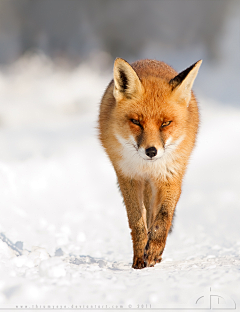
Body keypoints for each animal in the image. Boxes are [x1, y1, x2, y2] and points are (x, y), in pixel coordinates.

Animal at [98, 58, 202, 268]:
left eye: (165, 123)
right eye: (136, 122)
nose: (151, 151)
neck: (147, 167)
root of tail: (150, 61)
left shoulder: (171, 178)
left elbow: (162, 219)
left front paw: (153, 251)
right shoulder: (128, 178)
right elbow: (137, 224)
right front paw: (139, 259)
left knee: (154, 214)